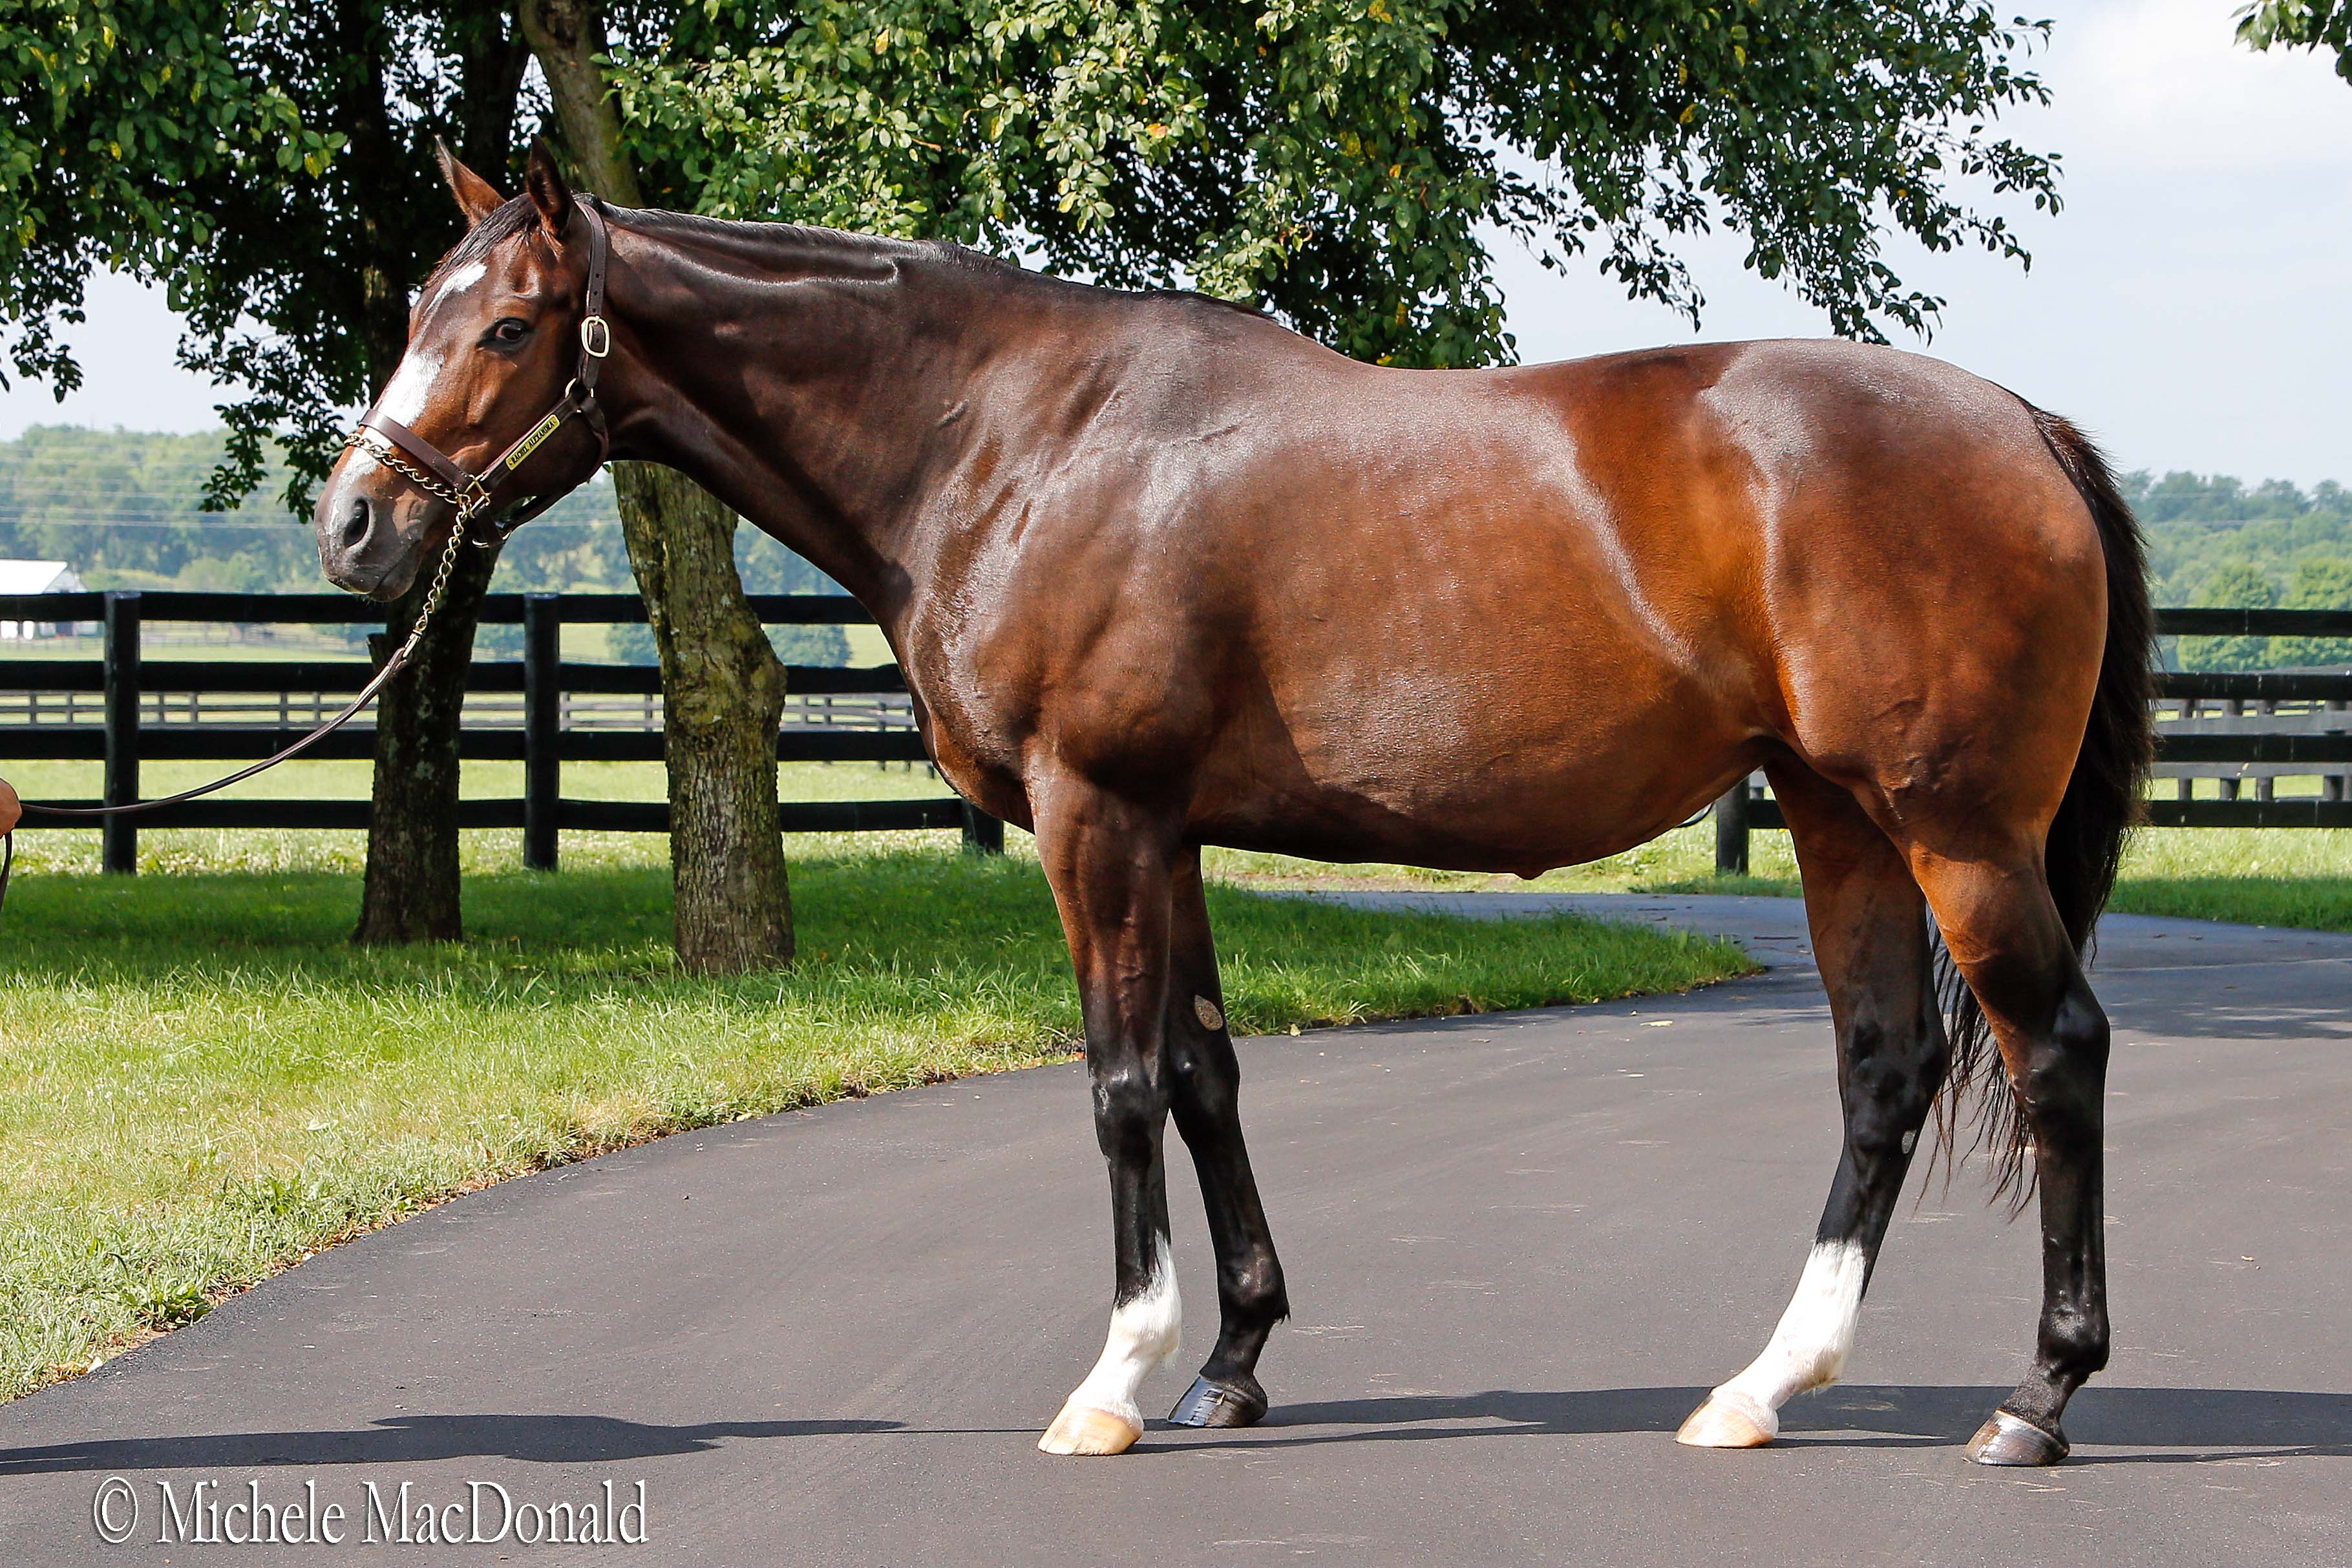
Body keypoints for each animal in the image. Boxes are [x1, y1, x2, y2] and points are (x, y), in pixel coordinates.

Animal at [322, 147, 2154, 1476]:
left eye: (506, 328)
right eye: (418, 303)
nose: (352, 525)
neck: (1009, 439)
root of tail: (2023, 427)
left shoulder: (1096, 816)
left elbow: (1121, 1083)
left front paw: (1113, 1379)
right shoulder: (1171, 829)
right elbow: (1204, 1075)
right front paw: (1229, 1363)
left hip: (1953, 831)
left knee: (2053, 1047)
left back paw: (2035, 1399)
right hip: (1837, 814)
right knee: (1883, 1068)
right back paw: (1763, 1384)